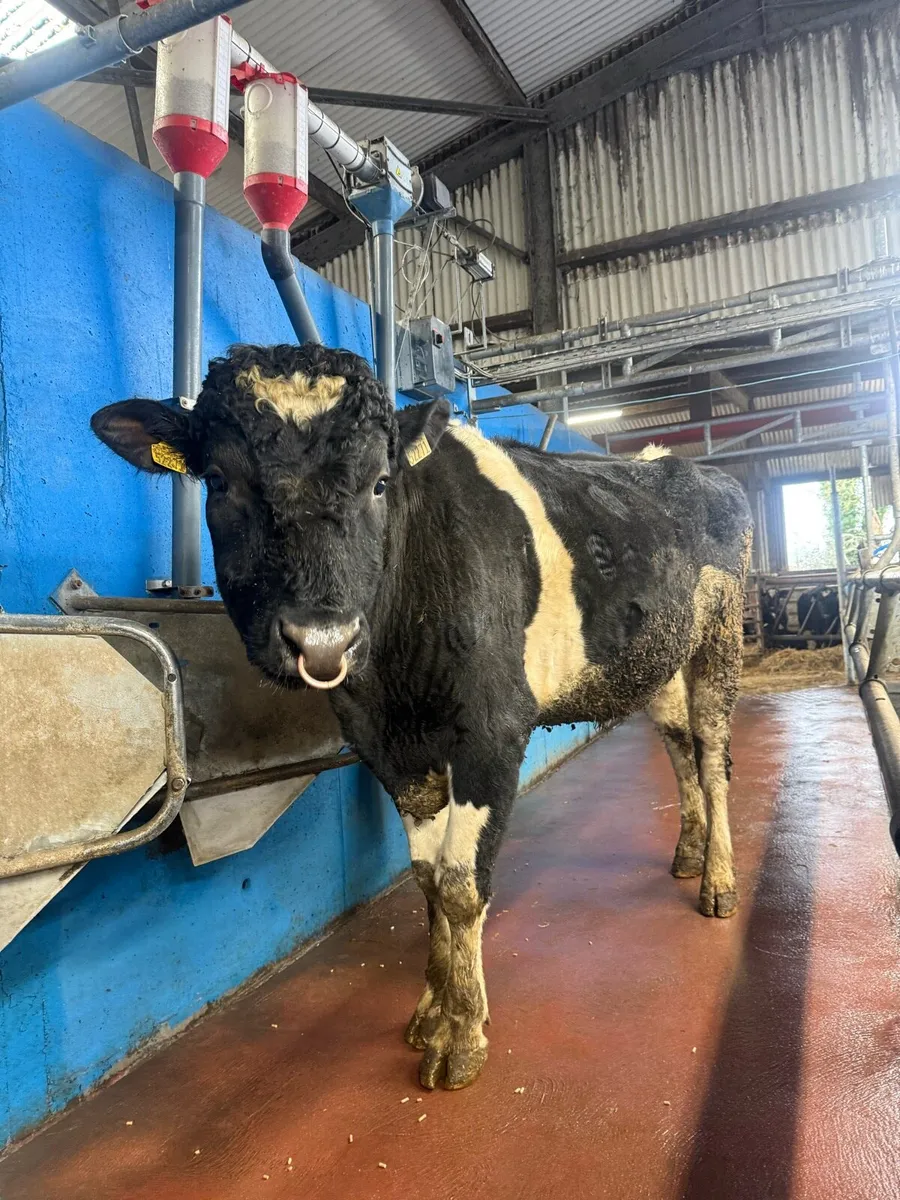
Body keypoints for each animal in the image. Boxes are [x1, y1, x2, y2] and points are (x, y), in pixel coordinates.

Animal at [91, 343, 753, 1091]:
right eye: (219, 482)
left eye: (380, 483)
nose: (322, 639)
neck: (394, 675)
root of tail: (674, 461)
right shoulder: (386, 745)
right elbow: (427, 878)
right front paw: (432, 1009)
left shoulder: (494, 730)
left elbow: (463, 883)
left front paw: (461, 1036)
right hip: (660, 656)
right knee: (677, 744)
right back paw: (689, 853)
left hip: (721, 632)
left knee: (712, 753)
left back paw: (719, 882)